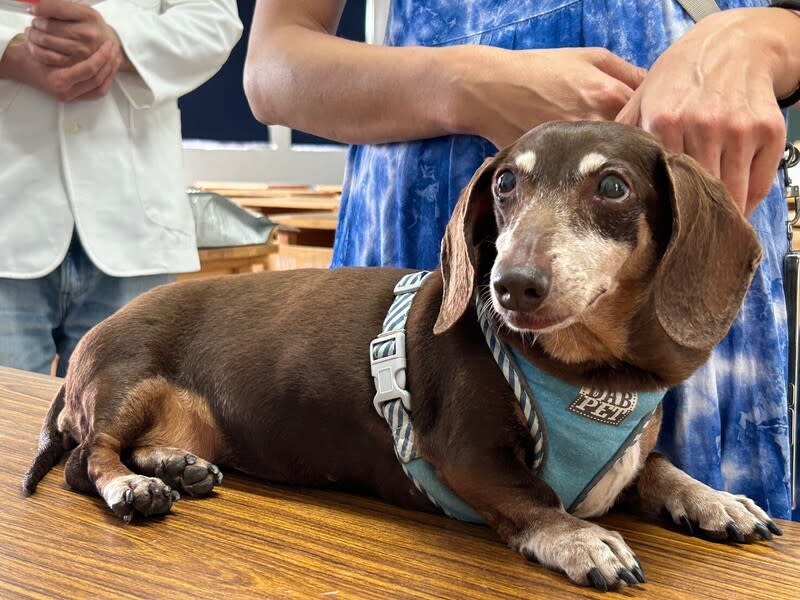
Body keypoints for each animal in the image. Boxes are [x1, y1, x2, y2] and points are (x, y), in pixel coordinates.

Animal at [21, 122, 780, 592]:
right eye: (505, 185)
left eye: (614, 186)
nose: (511, 286)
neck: (587, 376)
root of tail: (94, 337)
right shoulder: (465, 454)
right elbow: (534, 499)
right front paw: (581, 538)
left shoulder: (626, 456)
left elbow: (660, 468)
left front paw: (715, 500)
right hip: (123, 383)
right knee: (88, 460)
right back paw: (133, 487)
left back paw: (176, 464)